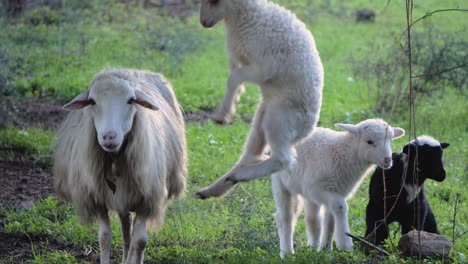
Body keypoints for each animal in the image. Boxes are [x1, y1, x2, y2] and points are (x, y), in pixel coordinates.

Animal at [52, 68, 186, 264]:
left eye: (131, 100)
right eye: (92, 101)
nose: (109, 136)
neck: (115, 159)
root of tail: (132, 71)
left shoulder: (147, 199)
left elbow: (140, 241)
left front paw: (133, 259)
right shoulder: (98, 199)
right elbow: (104, 237)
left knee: (134, 236)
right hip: (122, 195)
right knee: (125, 227)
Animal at [196, 0, 324, 199]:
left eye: (214, 1)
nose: (203, 22)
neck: (247, 17)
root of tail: (307, 130)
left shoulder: (265, 68)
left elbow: (234, 78)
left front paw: (222, 114)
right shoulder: (239, 59)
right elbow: (235, 79)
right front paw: (231, 104)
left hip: (279, 119)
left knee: (284, 160)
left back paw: (238, 176)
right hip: (263, 120)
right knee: (251, 155)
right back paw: (216, 187)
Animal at [272, 119, 404, 258]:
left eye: (390, 140)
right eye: (369, 141)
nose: (388, 160)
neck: (345, 154)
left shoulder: (336, 190)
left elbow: (330, 221)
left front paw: (325, 249)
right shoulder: (316, 189)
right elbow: (341, 207)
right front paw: (345, 244)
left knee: (313, 219)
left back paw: (312, 247)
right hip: (281, 183)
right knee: (285, 217)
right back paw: (287, 252)